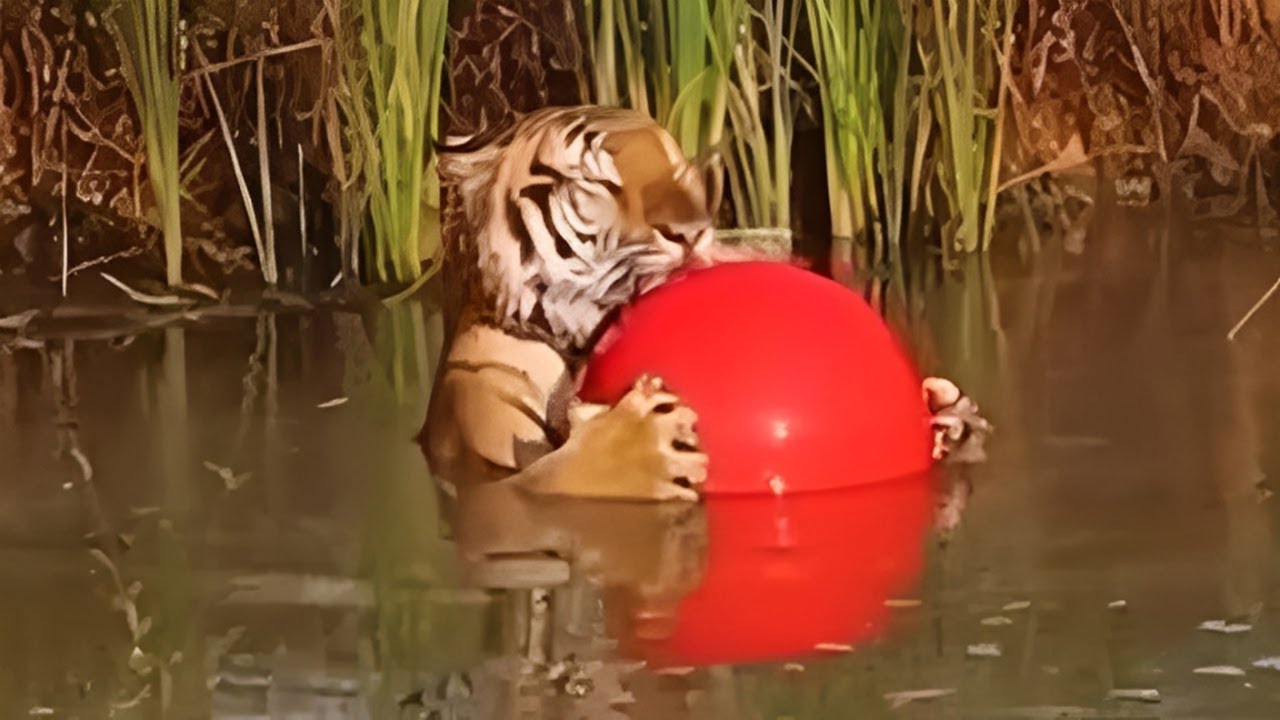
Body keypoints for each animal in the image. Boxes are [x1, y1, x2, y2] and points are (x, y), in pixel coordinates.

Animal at [422, 105, 990, 504]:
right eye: (601, 183)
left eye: (680, 172)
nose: (692, 230)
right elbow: (541, 480)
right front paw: (641, 446)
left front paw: (950, 414)